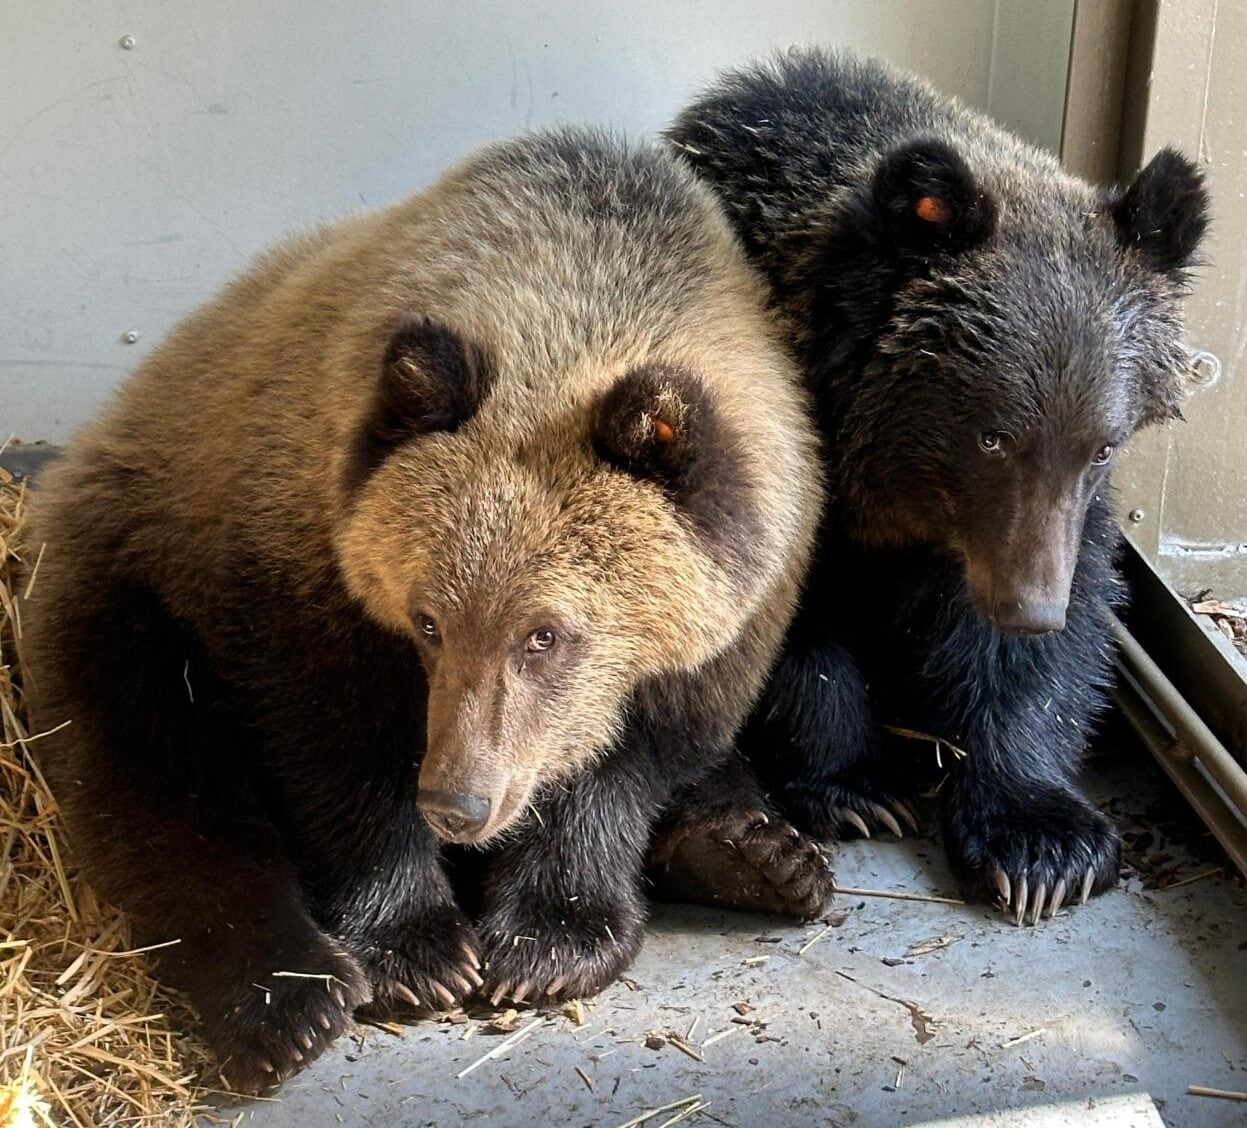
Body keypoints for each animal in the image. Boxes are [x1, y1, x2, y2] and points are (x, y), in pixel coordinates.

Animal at [23, 127, 832, 1092]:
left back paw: (757, 855)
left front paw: (549, 938)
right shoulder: (303, 567)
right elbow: (338, 754)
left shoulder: (726, 625)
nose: (459, 803)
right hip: (127, 580)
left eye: (544, 634)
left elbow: (624, 769)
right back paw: (285, 997)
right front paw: (415, 950)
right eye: (429, 621)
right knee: (160, 775)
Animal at [666, 48, 1210, 925]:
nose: (1029, 607)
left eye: (1100, 445)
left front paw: (1042, 846)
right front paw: (858, 787)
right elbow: (779, 632)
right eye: (990, 436)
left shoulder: (1054, 521)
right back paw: (740, 846)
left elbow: (1051, 653)